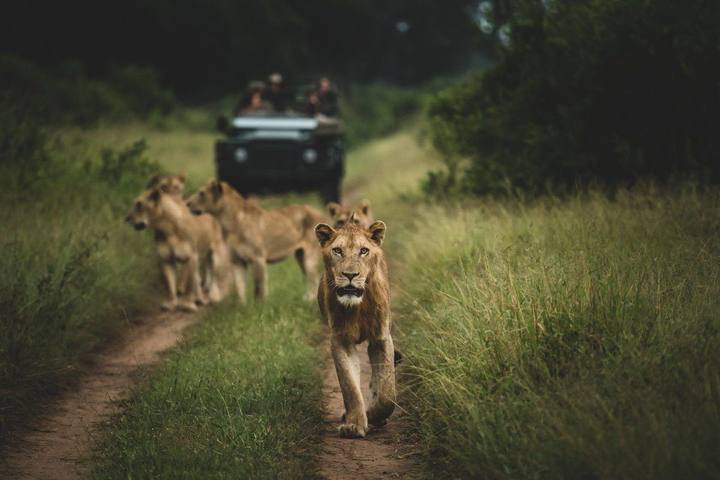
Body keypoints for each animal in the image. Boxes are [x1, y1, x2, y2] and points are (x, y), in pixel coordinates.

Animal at [186, 180, 324, 302]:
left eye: (201, 193)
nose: (186, 203)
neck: (228, 224)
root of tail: (318, 211)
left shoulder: (258, 258)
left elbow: (259, 288)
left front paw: (260, 307)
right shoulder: (237, 261)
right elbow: (240, 287)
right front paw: (242, 307)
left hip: (310, 258)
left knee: (314, 278)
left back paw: (310, 301)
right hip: (300, 256)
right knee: (311, 279)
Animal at [315, 219, 396, 438]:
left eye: (363, 251)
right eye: (337, 251)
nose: (350, 275)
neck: (357, 307)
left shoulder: (381, 338)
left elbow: (387, 391)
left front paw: (375, 414)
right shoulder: (341, 340)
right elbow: (349, 386)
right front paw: (353, 425)